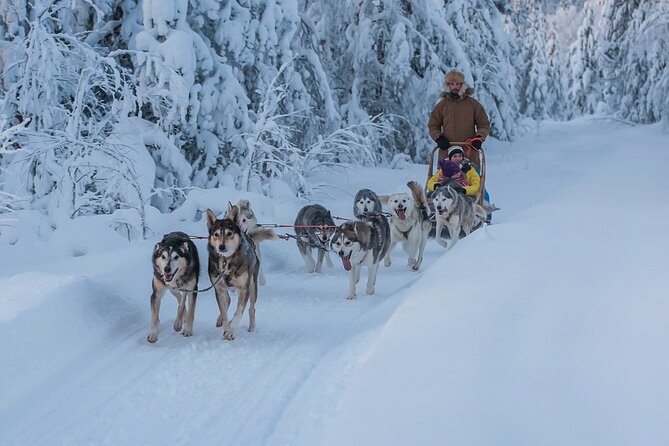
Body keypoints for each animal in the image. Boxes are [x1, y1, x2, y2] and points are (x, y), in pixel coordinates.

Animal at [205, 207, 276, 340]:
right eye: (216, 234)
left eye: (229, 233)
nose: (221, 247)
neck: (227, 261)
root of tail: (248, 236)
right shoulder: (219, 289)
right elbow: (224, 314)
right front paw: (227, 327)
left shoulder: (244, 289)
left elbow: (238, 313)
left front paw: (230, 330)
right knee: (228, 301)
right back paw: (220, 320)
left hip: (253, 287)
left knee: (251, 309)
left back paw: (251, 327)